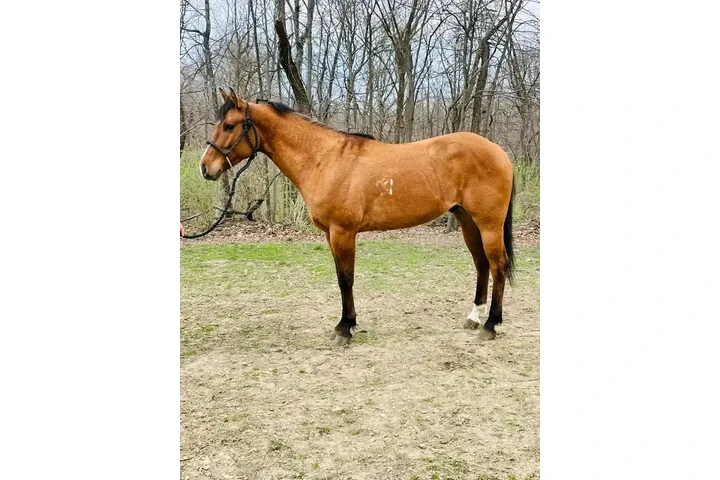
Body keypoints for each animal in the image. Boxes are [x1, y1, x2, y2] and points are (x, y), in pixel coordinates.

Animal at [199, 88, 515, 346]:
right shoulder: (330, 234)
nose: (205, 168)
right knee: (481, 264)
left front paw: (344, 328)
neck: (324, 160)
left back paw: (490, 325)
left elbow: (345, 279)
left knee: (498, 266)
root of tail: (499, 152)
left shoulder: (343, 231)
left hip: (488, 224)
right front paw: (346, 324)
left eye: (229, 125)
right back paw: (474, 318)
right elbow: (342, 278)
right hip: (467, 221)